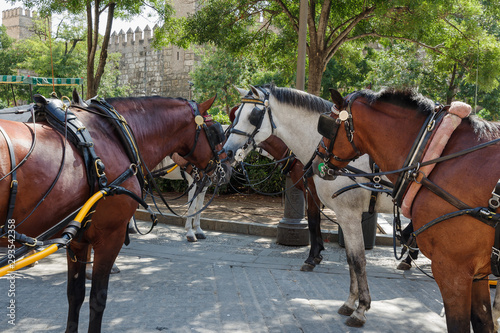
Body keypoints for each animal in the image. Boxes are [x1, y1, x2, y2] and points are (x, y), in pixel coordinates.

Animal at [0, 94, 230, 330]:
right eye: (216, 132)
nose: (227, 169)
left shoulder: (78, 239)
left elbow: (75, 295)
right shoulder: (110, 236)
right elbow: (98, 298)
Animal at [314, 88, 498, 332]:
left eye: (328, 123)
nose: (316, 158)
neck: (432, 157)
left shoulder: (454, 271)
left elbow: (356, 259)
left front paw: (359, 308)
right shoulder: (478, 274)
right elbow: (484, 321)